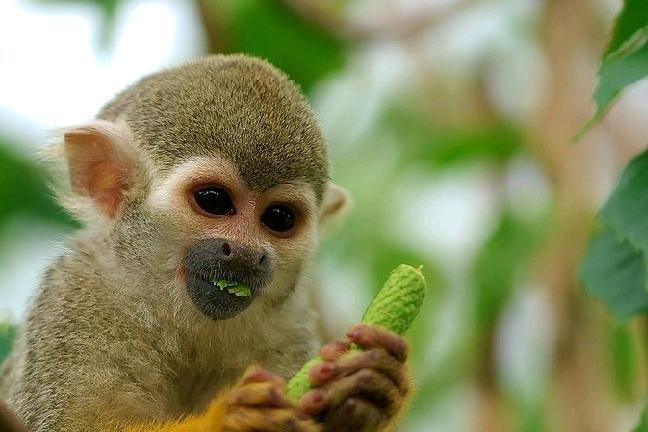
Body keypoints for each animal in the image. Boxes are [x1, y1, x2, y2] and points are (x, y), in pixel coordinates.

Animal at [0, 54, 410, 432]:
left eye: (279, 218)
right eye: (213, 200)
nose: (246, 252)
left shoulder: (288, 325)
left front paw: (364, 390)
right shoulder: (75, 295)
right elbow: (73, 424)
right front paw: (229, 419)